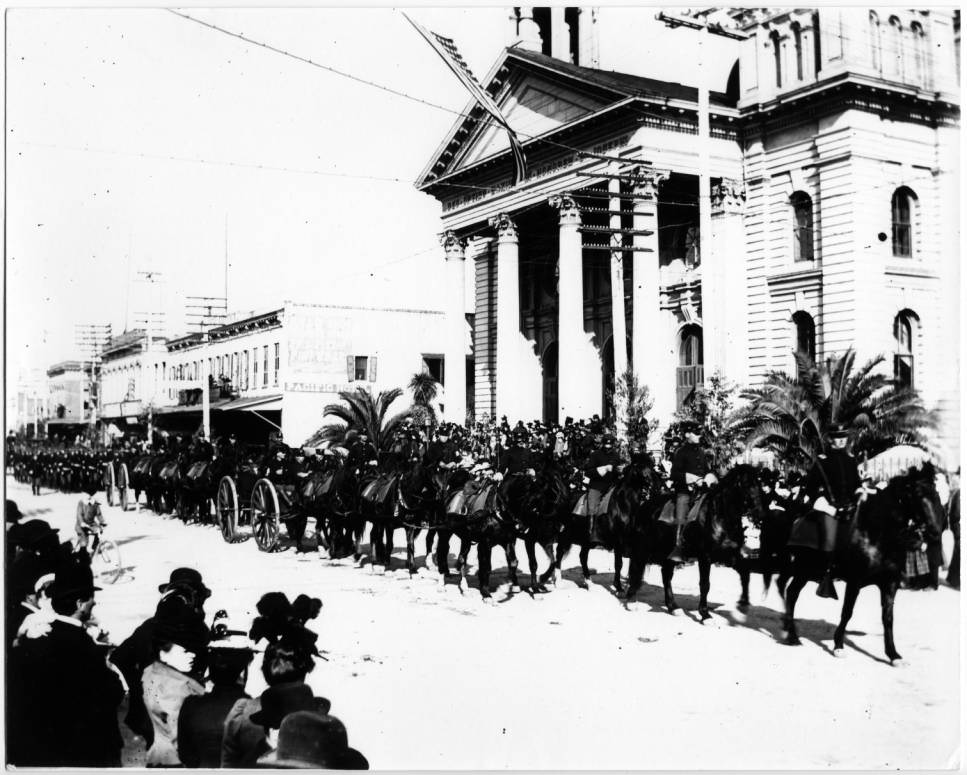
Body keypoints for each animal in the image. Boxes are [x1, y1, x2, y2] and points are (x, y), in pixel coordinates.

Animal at [780, 464, 944, 664]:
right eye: (917, 494)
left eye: (936, 492)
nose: (935, 532)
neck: (878, 535)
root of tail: (800, 519)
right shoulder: (854, 581)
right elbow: (847, 612)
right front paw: (838, 646)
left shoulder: (890, 583)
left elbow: (888, 617)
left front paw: (893, 655)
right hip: (804, 569)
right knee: (791, 593)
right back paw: (792, 637)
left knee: (790, 592)